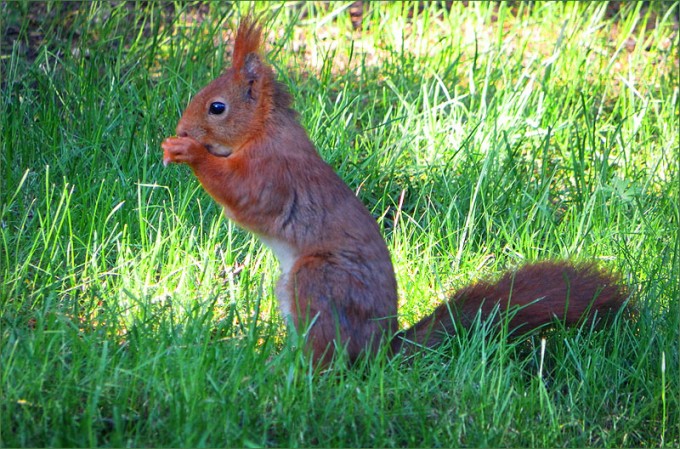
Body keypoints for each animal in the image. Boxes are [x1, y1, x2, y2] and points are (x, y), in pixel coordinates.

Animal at [161, 18, 627, 365]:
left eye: (217, 107)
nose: (182, 129)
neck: (263, 130)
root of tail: (380, 350)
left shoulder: (272, 173)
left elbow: (241, 195)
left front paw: (188, 152)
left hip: (319, 281)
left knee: (329, 354)